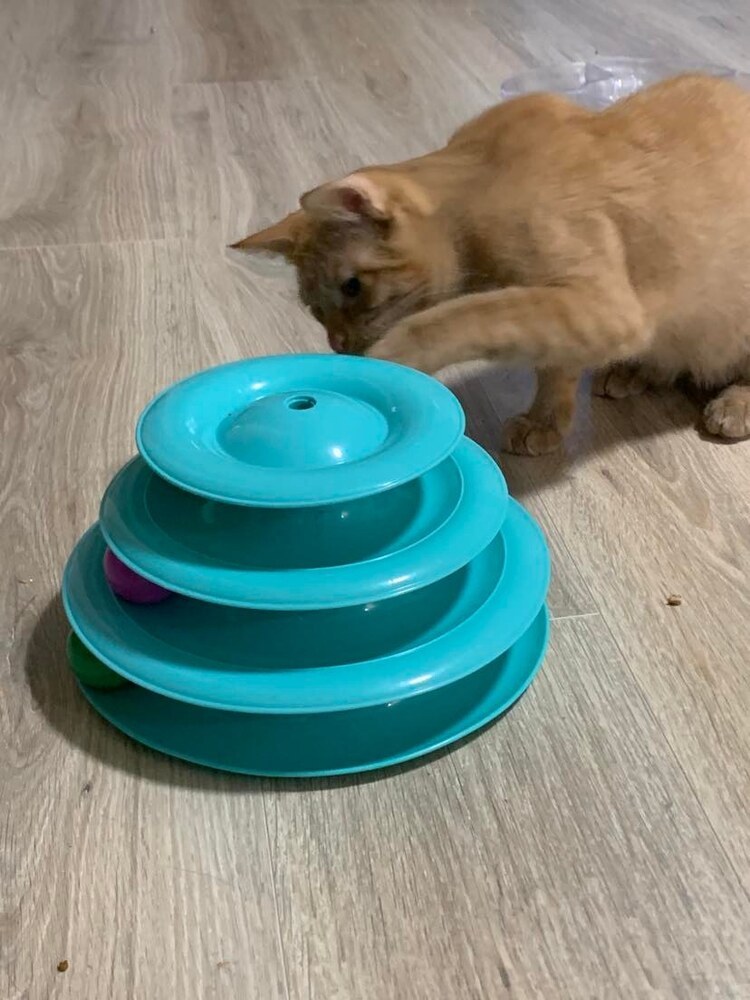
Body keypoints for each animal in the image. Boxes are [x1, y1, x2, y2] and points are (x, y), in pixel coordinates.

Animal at [232, 73, 750, 455]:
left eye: (353, 287)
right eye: (314, 309)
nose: (338, 346)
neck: (480, 172)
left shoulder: (597, 305)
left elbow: (463, 317)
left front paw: (390, 360)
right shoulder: (574, 315)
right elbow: (553, 364)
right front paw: (546, 420)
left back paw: (734, 404)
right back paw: (639, 370)